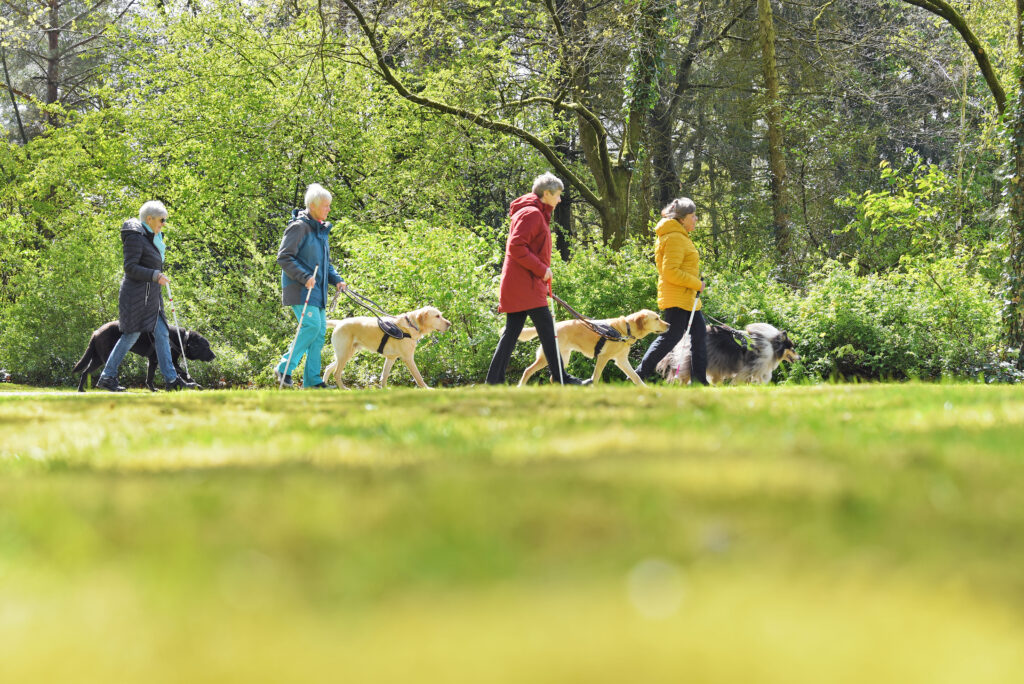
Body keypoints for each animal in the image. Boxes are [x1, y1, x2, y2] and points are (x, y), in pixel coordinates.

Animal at [73, 321, 216, 393]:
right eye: (206, 347)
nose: (214, 356)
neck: (182, 339)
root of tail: (96, 332)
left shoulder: (153, 361)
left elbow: (150, 377)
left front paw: (153, 389)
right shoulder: (171, 361)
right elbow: (183, 374)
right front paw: (193, 385)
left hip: (97, 359)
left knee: (85, 372)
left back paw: (81, 389)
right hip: (106, 357)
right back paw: (113, 387)